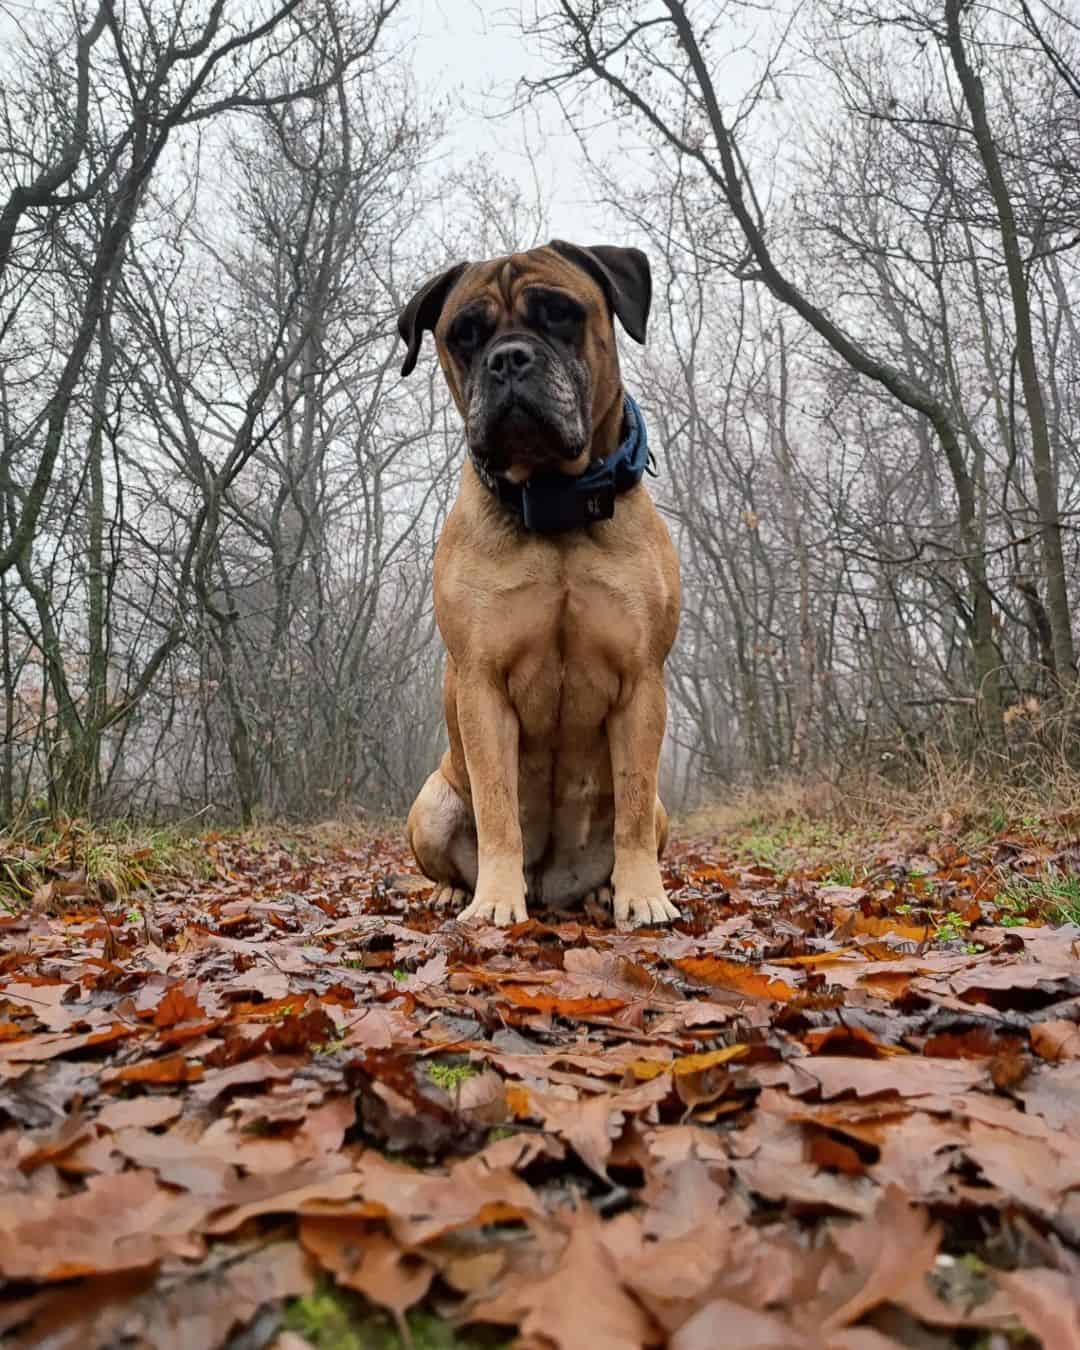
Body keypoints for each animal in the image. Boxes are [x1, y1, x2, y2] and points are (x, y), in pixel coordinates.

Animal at [396, 243, 683, 928]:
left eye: (559, 312)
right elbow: (499, 807)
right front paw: (495, 903)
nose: (508, 359)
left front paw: (644, 895)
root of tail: (555, 886)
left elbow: (633, 807)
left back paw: (605, 892)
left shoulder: (641, 683)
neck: (556, 503)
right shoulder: (483, 685)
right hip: (431, 803)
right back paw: (456, 892)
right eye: (464, 334)